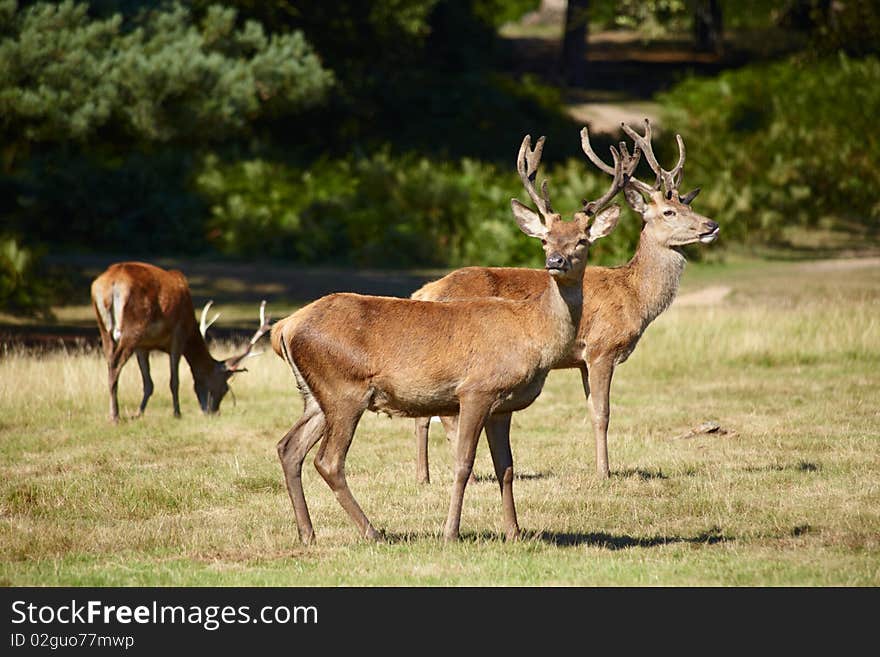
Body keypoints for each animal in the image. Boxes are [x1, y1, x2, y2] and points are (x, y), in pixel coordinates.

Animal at [89, 260, 270, 420]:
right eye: (224, 388)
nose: (214, 412)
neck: (190, 328)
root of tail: (111, 283)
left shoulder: (143, 346)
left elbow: (148, 383)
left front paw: (138, 414)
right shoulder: (178, 336)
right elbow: (174, 381)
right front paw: (177, 413)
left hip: (104, 327)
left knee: (109, 362)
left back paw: (113, 413)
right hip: (133, 328)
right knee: (115, 364)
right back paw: (115, 416)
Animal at [270, 133, 624, 544]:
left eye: (582, 241)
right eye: (545, 240)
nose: (556, 262)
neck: (532, 335)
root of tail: (285, 326)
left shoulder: (502, 405)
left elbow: (506, 466)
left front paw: (514, 532)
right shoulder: (475, 389)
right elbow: (463, 463)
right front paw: (450, 532)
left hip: (315, 395)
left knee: (288, 447)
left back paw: (307, 533)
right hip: (344, 390)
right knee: (328, 461)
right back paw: (372, 532)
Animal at [410, 120, 720, 482]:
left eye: (690, 207)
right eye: (669, 212)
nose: (711, 225)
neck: (634, 296)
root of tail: (426, 291)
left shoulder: (582, 360)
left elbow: (591, 409)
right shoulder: (602, 348)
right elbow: (602, 413)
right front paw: (604, 472)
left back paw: (424, 477)